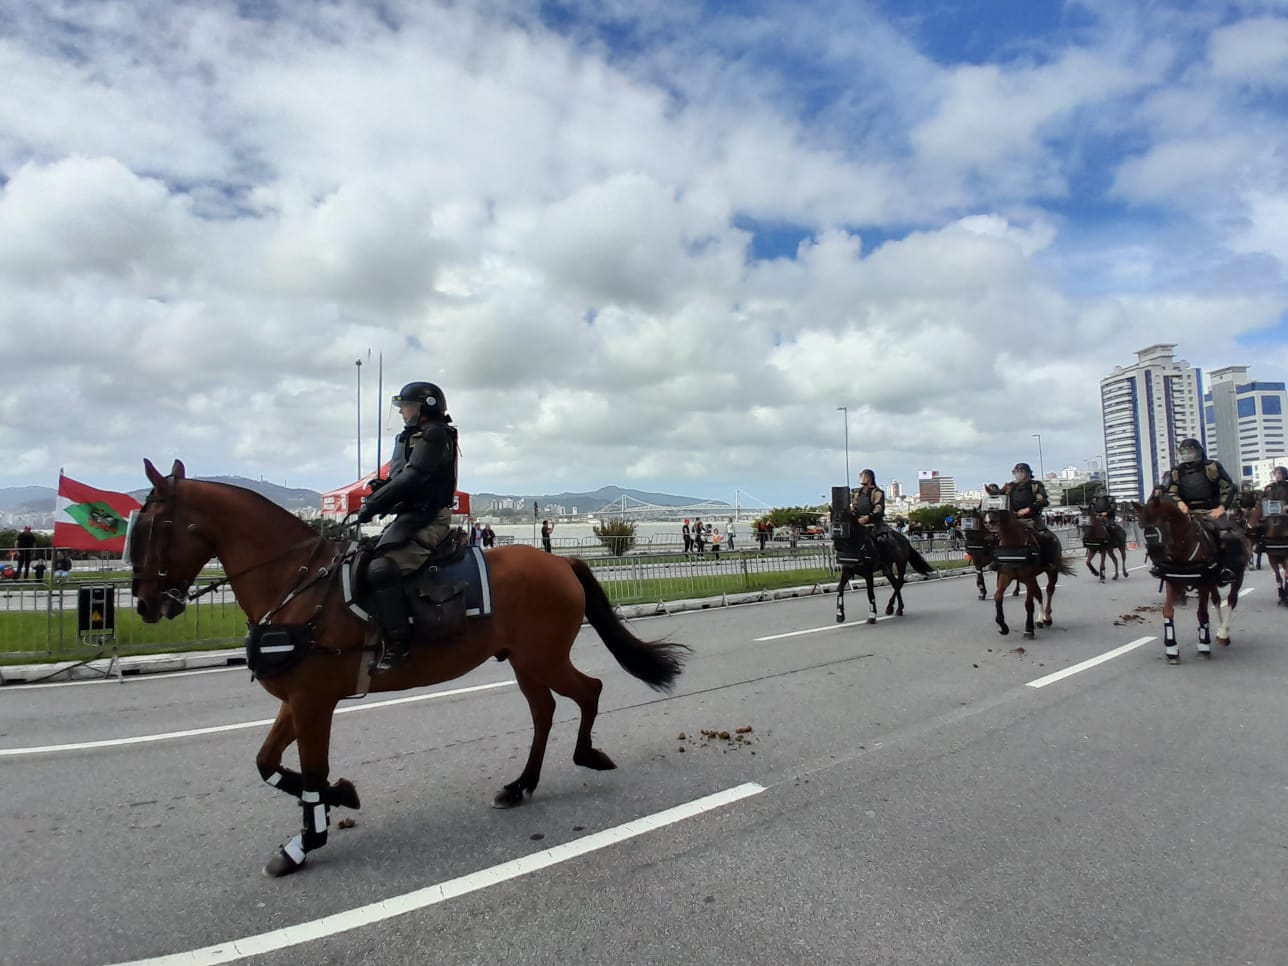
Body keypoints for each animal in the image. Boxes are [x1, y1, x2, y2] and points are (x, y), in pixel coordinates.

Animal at [129, 461, 690, 875]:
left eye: (154, 525)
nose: (146, 604)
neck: (298, 584)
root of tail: (559, 562)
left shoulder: (314, 701)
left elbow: (312, 772)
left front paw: (308, 838)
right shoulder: (298, 698)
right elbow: (268, 764)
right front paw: (336, 800)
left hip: (543, 656)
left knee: (588, 691)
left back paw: (586, 755)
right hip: (526, 660)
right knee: (545, 711)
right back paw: (520, 785)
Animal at [1143, 494, 1241, 664]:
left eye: (1161, 523)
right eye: (1142, 526)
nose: (1156, 557)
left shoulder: (1203, 583)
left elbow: (1202, 613)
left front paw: (1203, 646)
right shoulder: (1172, 581)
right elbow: (1167, 611)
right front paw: (1172, 648)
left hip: (1237, 575)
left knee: (1231, 600)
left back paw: (1224, 634)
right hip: (1212, 583)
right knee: (1216, 600)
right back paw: (1220, 632)